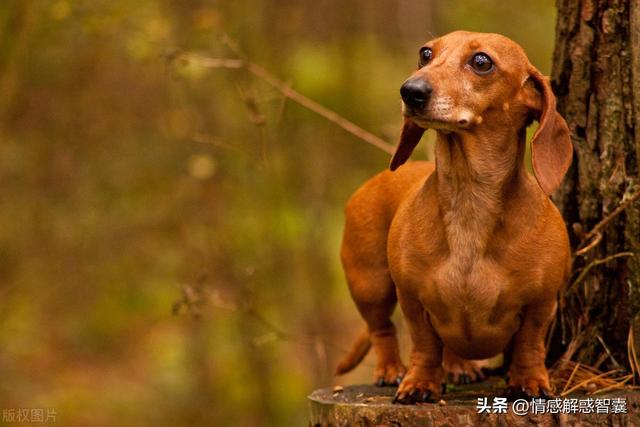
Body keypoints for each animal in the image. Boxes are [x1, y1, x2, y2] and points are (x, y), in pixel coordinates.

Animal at [338, 30, 572, 404]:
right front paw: (418, 384)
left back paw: (460, 367)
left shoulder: (541, 303)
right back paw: (391, 370)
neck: (468, 199)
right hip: (370, 283)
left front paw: (530, 381)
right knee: (382, 329)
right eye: (425, 53)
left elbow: (529, 344)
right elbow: (423, 345)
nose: (410, 91)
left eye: (481, 61)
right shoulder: (412, 300)